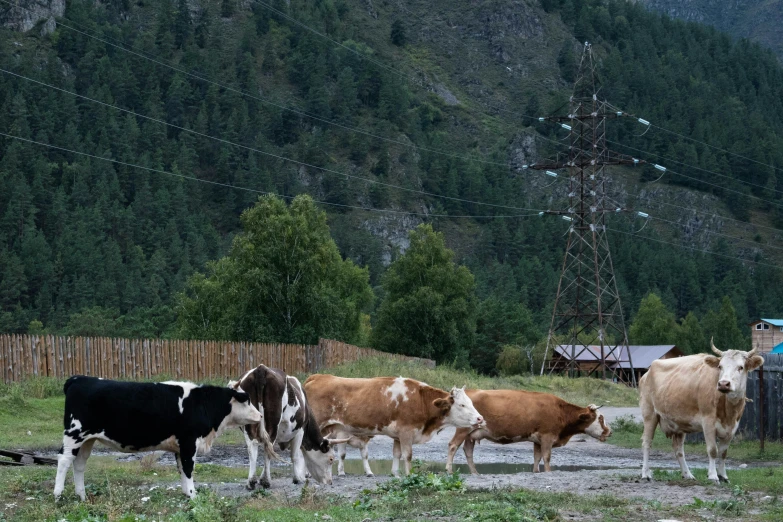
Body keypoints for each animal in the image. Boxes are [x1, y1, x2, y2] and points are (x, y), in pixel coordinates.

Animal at [53, 374, 260, 500]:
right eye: (247, 400)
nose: (260, 415)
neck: (201, 403)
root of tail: (79, 378)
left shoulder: (179, 446)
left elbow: (181, 470)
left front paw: (187, 495)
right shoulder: (189, 442)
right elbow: (189, 469)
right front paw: (193, 495)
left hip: (87, 439)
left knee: (79, 463)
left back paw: (82, 496)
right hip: (74, 433)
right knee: (64, 460)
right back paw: (58, 495)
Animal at [304, 374, 484, 476]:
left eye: (470, 402)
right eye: (462, 405)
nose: (480, 418)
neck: (420, 400)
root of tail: (319, 376)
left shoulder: (398, 435)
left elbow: (397, 454)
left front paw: (395, 473)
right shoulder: (406, 432)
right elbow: (408, 455)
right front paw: (409, 474)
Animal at [448, 390, 612, 472]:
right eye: (600, 418)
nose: (609, 432)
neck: (559, 411)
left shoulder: (538, 440)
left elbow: (537, 458)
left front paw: (536, 472)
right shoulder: (547, 437)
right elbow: (546, 457)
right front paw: (548, 472)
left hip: (471, 434)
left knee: (468, 451)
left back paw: (475, 472)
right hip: (463, 429)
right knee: (453, 446)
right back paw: (449, 470)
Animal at [640, 340, 764, 482]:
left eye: (741, 367)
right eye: (720, 366)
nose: (723, 384)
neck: (728, 411)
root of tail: (647, 373)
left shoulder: (732, 427)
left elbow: (723, 453)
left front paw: (723, 476)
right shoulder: (708, 422)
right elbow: (713, 450)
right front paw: (713, 476)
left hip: (678, 422)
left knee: (678, 449)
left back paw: (687, 474)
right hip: (650, 415)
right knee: (647, 443)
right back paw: (646, 473)